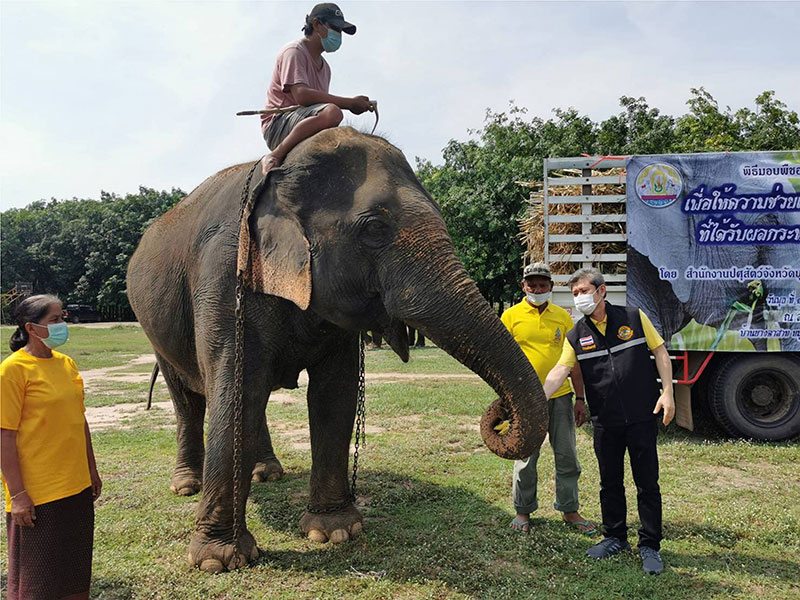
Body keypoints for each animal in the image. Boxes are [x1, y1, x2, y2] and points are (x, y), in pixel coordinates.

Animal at [126, 127, 548, 573]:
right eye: (375, 228)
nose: (500, 412)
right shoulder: (226, 276)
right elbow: (237, 391)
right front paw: (218, 560)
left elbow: (334, 394)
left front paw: (335, 531)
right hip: (154, 331)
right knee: (190, 401)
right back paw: (187, 485)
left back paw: (267, 474)